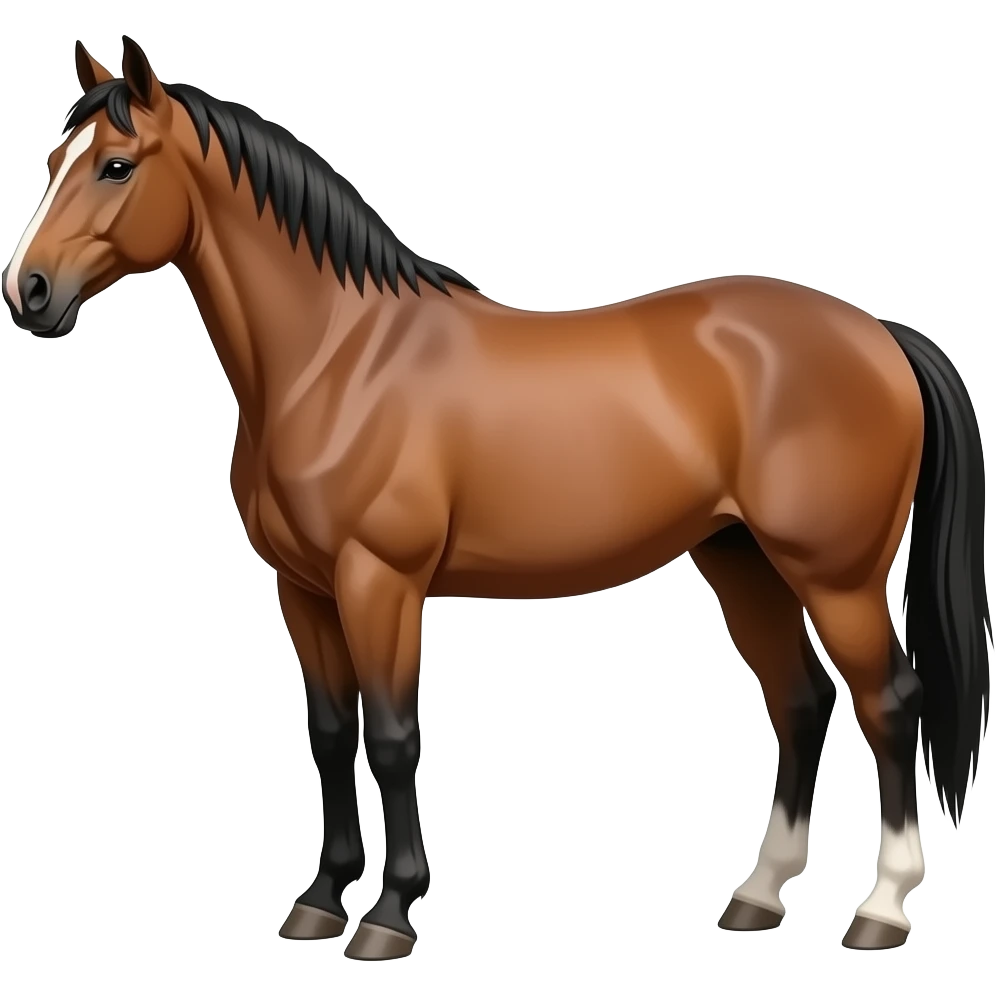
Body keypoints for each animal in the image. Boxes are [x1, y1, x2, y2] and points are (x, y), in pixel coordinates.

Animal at [3, 36, 990, 958]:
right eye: (54, 162)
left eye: (117, 165)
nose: (30, 292)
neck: (338, 357)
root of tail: (880, 334)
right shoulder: (304, 588)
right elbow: (330, 732)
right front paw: (320, 901)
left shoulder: (380, 582)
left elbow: (392, 736)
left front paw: (389, 915)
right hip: (741, 559)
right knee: (800, 701)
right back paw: (757, 896)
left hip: (836, 576)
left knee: (889, 702)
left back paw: (882, 909)